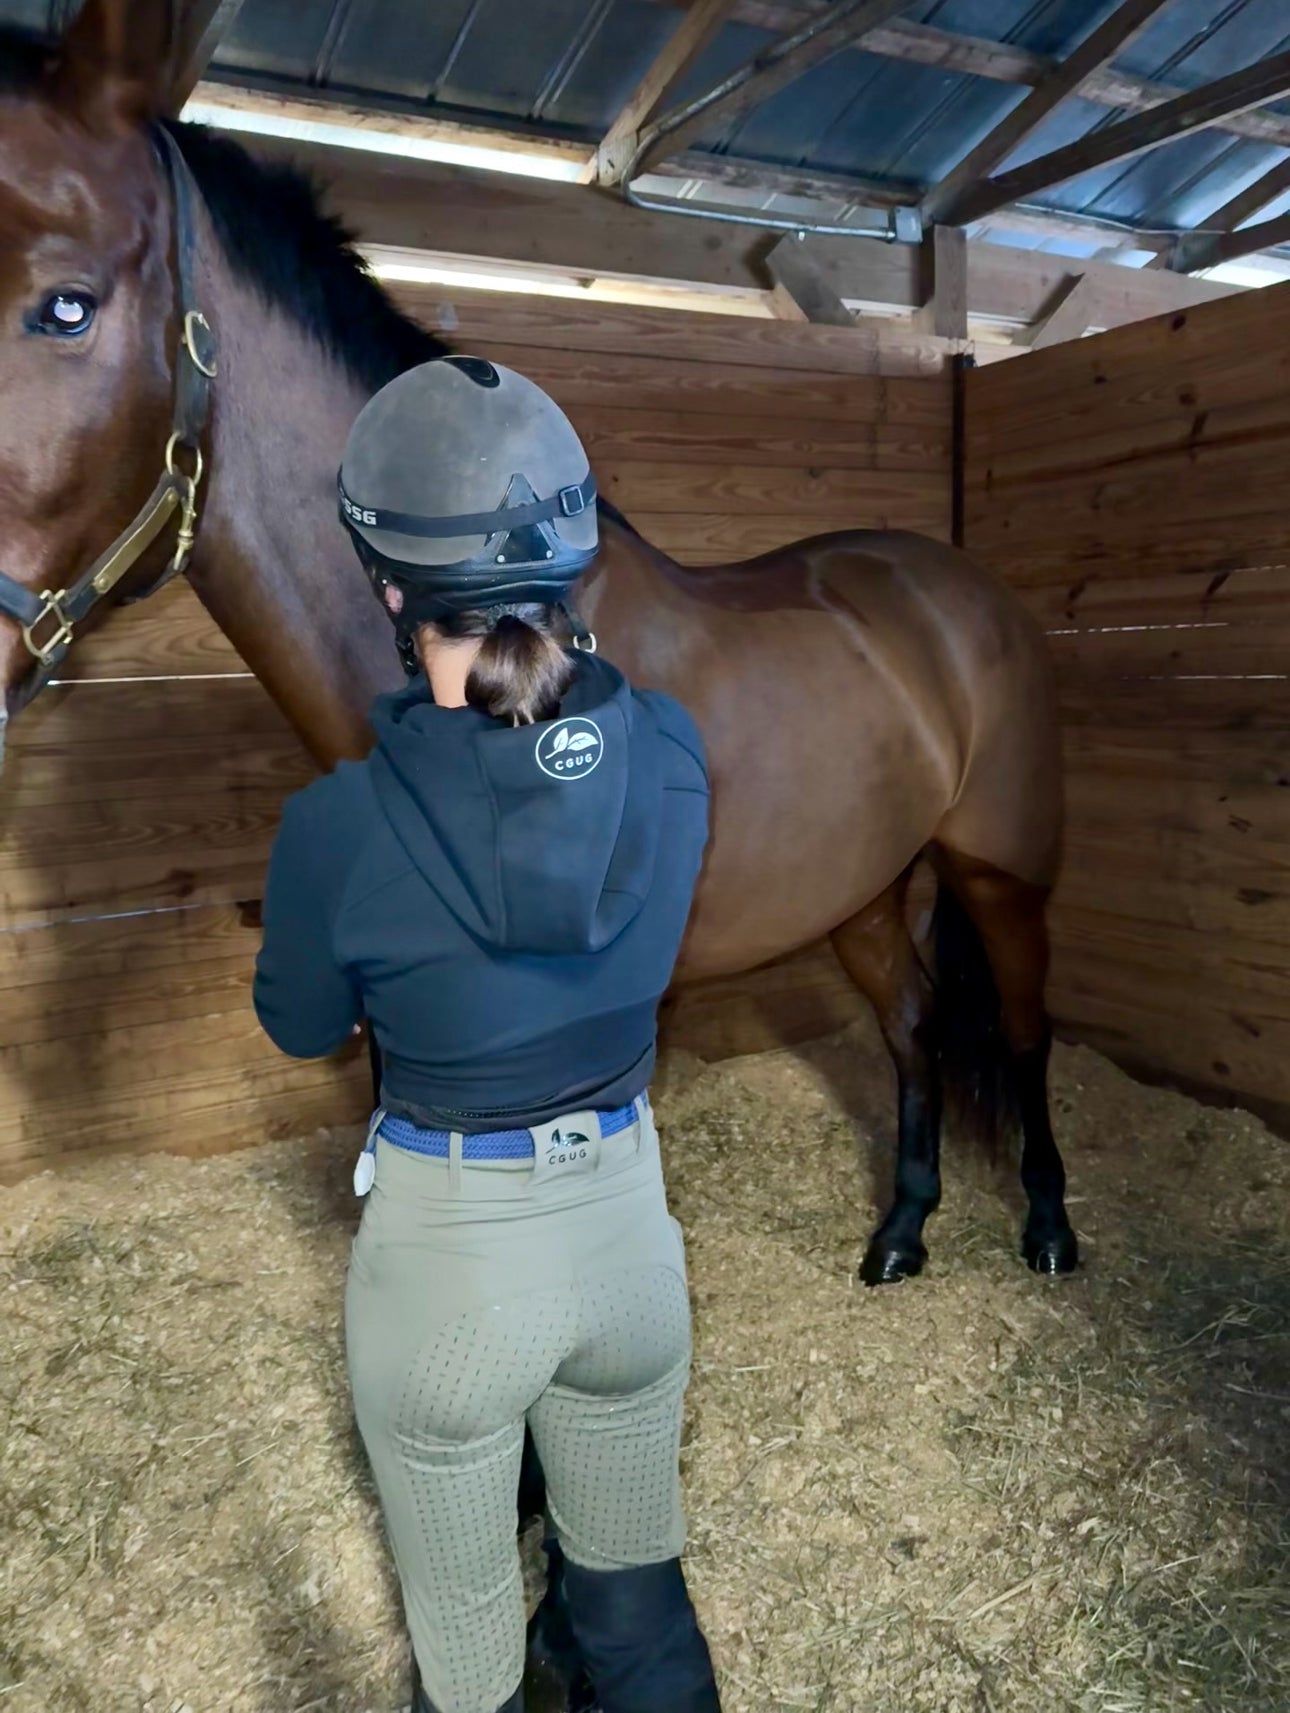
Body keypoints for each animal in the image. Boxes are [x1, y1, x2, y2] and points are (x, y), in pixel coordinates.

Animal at [0, 0, 1075, 1288]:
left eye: (66, 303)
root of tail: (960, 589)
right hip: (862, 884)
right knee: (913, 1025)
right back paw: (903, 1231)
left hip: (1001, 872)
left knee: (1023, 1030)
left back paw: (1049, 1227)